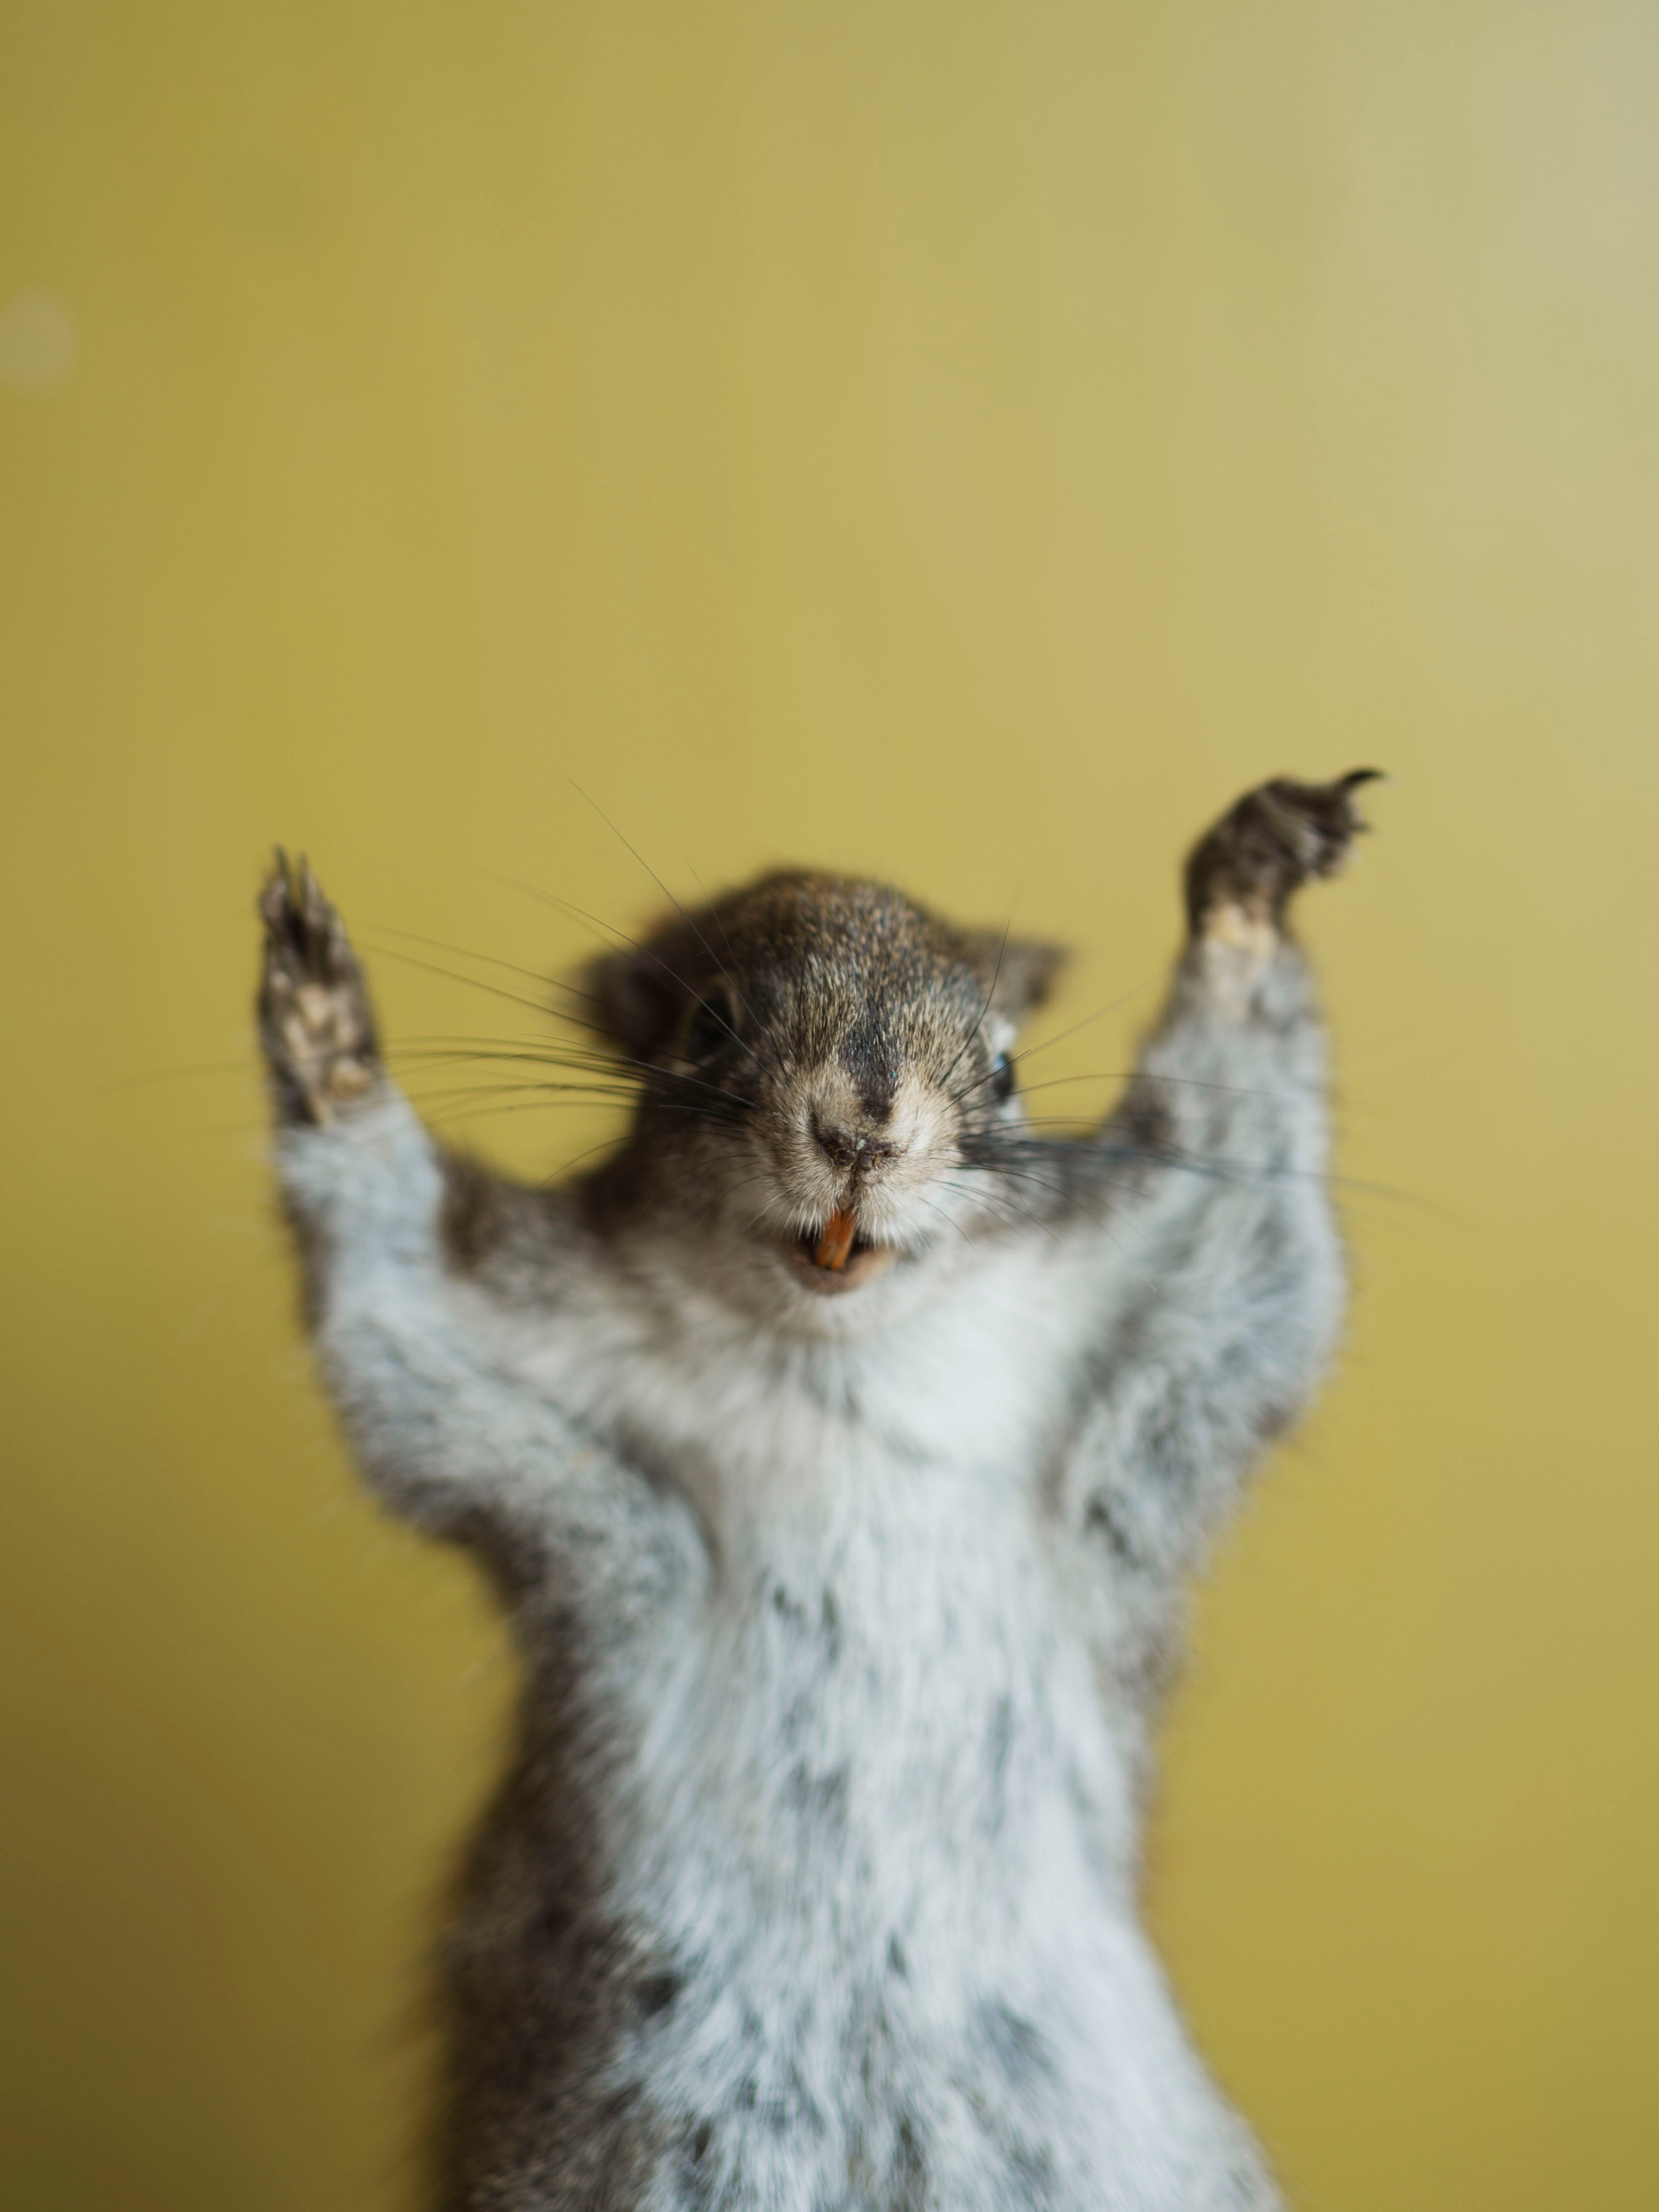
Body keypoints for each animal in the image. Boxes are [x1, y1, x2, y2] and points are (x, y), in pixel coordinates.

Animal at [257, 771, 1380, 2212]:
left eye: (1005, 1068)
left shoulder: (1150, 1301)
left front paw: (1248, 890)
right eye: (706, 1023)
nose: (861, 1132)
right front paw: (326, 1035)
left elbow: (1252, 1220)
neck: (833, 1354)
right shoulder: (510, 1351)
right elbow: (392, 1296)